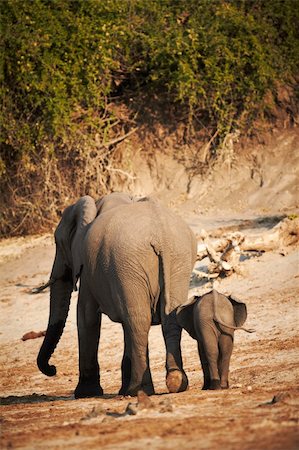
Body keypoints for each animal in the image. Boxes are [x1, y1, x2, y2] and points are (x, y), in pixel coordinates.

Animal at [36, 192, 198, 398]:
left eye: (58, 243)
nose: (53, 369)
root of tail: (162, 235)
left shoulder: (89, 270)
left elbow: (86, 317)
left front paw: (86, 393)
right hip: (177, 261)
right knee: (164, 317)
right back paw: (175, 382)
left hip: (131, 262)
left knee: (137, 320)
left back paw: (138, 390)